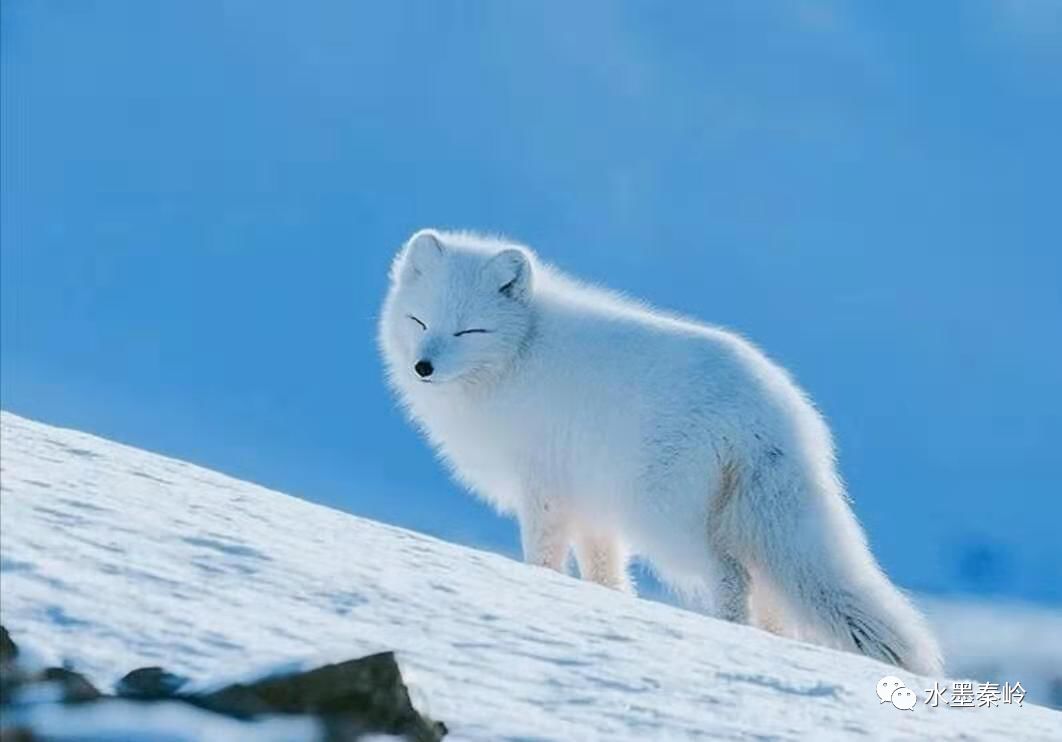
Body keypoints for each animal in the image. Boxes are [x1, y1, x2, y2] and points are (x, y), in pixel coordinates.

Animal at [378, 229, 943, 675]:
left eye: (469, 330)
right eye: (419, 321)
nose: (423, 367)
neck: (517, 356)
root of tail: (772, 416)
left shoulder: (544, 489)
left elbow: (544, 557)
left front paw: (541, 585)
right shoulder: (591, 503)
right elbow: (603, 568)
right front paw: (609, 601)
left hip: (664, 520)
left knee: (733, 576)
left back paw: (732, 631)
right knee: (771, 589)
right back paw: (772, 640)